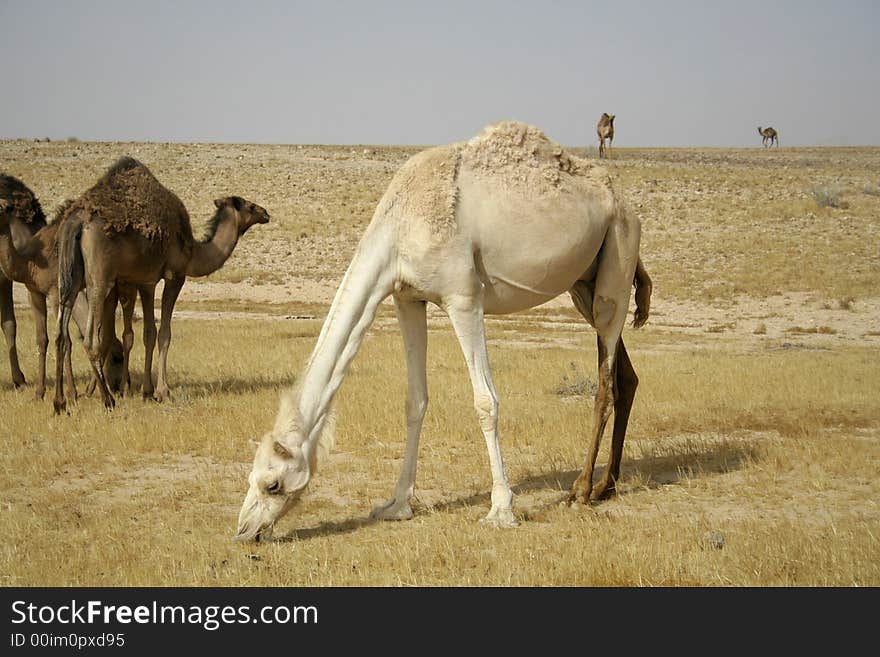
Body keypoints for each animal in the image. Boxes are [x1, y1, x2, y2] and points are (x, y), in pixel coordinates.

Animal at [53, 157, 270, 412]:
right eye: (249, 205)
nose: (266, 213)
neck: (194, 250)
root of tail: (75, 222)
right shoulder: (175, 275)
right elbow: (165, 332)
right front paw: (162, 392)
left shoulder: (145, 280)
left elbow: (148, 333)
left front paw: (146, 391)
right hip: (99, 277)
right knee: (90, 339)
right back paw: (108, 400)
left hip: (69, 276)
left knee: (61, 334)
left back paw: (60, 402)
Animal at [237, 120, 648, 540]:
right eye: (251, 478)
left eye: (272, 484)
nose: (245, 529)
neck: (400, 226)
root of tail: (626, 204)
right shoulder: (407, 298)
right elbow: (415, 401)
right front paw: (397, 505)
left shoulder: (463, 297)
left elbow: (485, 402)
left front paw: (501, 509)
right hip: (584, 282)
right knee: (624, 374)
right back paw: (606, 485)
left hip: (618, 252)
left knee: (605, 382)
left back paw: (581, 490)